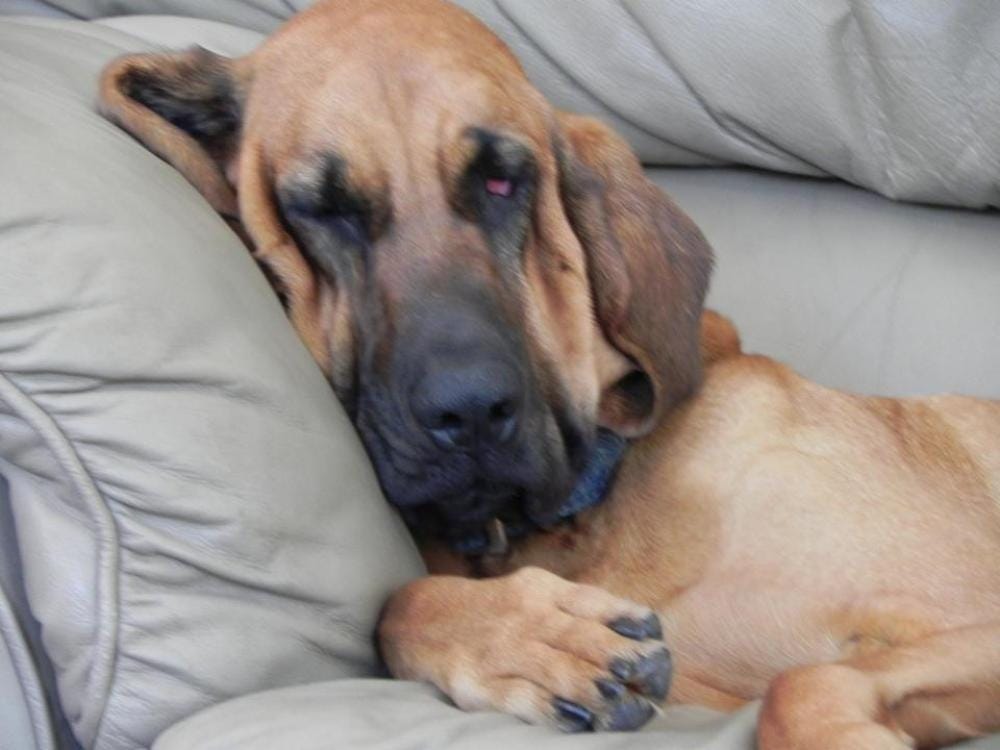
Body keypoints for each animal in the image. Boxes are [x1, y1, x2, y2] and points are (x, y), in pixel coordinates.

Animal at [99, 2, 1000, 748]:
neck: (587, 512)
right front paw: (532, 639)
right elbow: (400, 603)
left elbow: (801, 686)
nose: (469, 411)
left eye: (503, 179)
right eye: (323, 209)